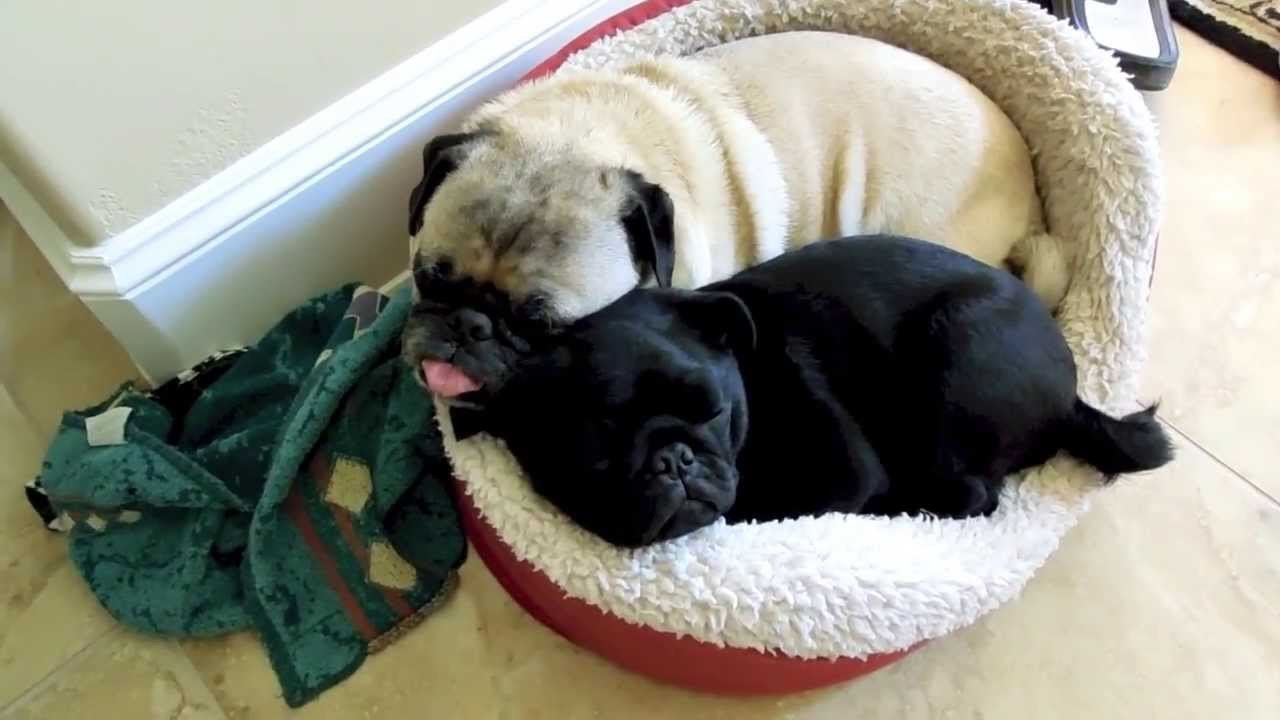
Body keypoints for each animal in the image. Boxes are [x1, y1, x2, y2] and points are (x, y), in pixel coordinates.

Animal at [450, 235, 1172, 543]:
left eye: (712, 411)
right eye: (594, 454)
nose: (674, 459)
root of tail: (1075, 398)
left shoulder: (840, 475)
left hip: (953, 356)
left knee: (972, 495)